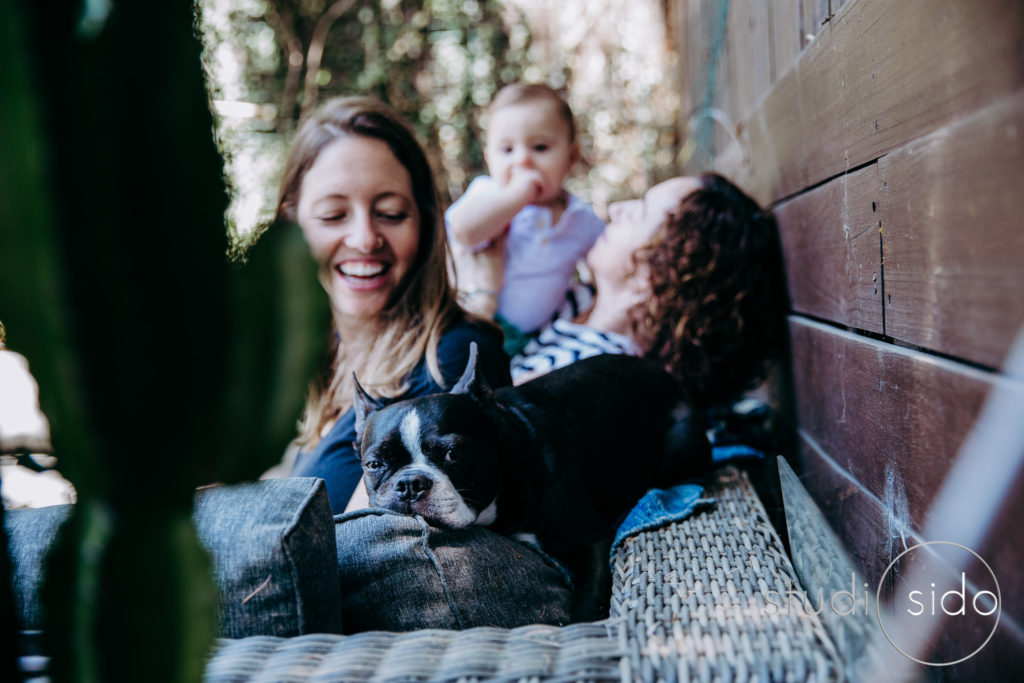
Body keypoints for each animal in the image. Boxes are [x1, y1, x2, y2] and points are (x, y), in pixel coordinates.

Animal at [352, 344, 704, 618]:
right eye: (373, 464)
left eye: (453, 454)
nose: (410, 484)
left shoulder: (591, 539)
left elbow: (586, 605)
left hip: (679, 439)